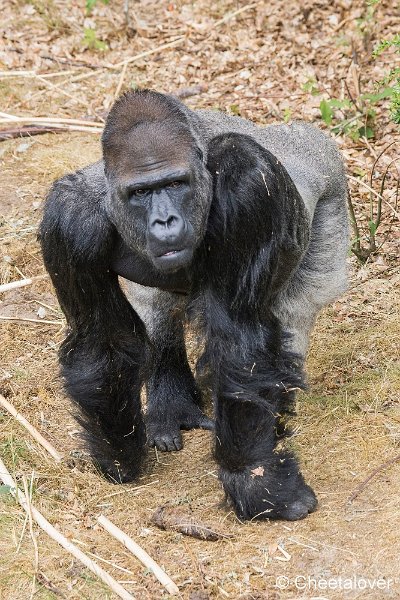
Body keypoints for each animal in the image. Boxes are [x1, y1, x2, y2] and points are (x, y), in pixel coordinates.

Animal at [39, 89, 348, 520]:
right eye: (140, 192)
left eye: (175, 183)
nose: (165, 221)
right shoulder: (69, 219)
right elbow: (103, 341)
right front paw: (119, 454)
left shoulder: (247, 182)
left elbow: (239, 340)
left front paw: (254, 480)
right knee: (157, 310)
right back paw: (171, 404)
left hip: (331, 188)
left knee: (294, 313)